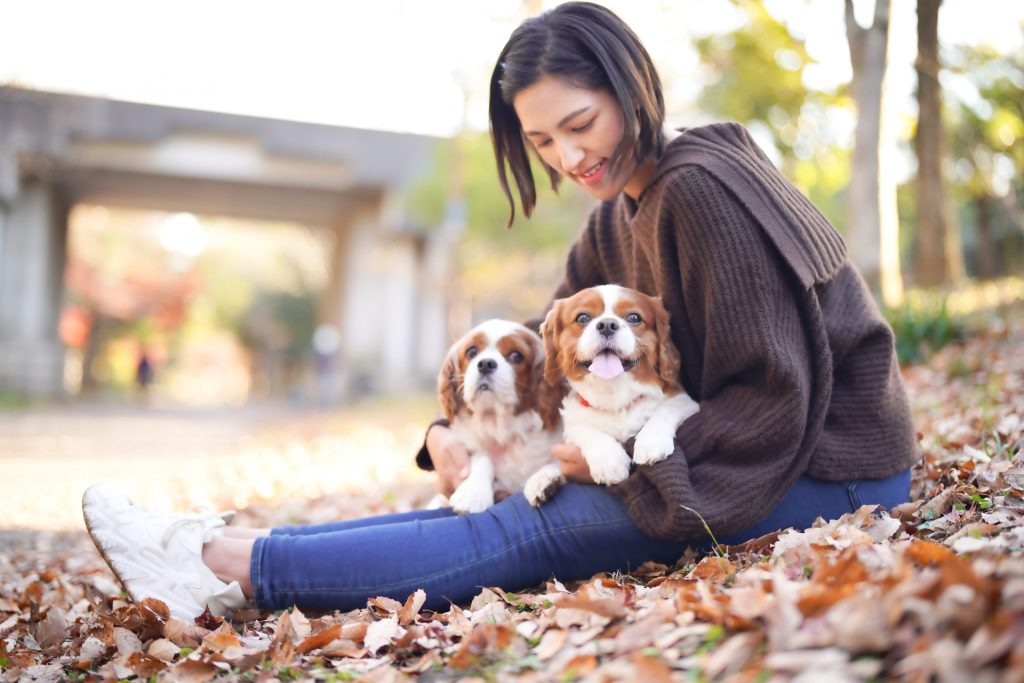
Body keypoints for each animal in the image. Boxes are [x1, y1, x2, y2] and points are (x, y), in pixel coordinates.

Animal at [434, 321, 561, 511]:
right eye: (472, 351)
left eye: (516, 355)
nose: (485, 363)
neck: (500, 422)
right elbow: (482, 458)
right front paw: (473, 493)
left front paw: (543, 479)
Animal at [524, 284, 700, 507]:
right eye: (582, 318)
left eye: (634, 317)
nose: (607, 324)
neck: (613, 393)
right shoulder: (574, 419)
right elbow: (584, 429)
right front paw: (609, 460)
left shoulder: (685, 401)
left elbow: (666, 411)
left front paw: (651, 441)